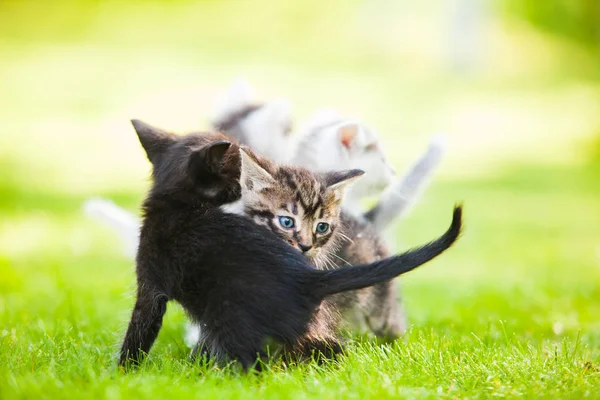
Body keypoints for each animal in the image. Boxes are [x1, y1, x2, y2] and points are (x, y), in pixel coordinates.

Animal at [119, 120, 462, 370]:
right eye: (286, 222)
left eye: (321, 227)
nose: (306, 246)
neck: (177, 203)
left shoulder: (151, 284)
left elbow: (140, 329)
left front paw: (125, 371)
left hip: (235, 311)